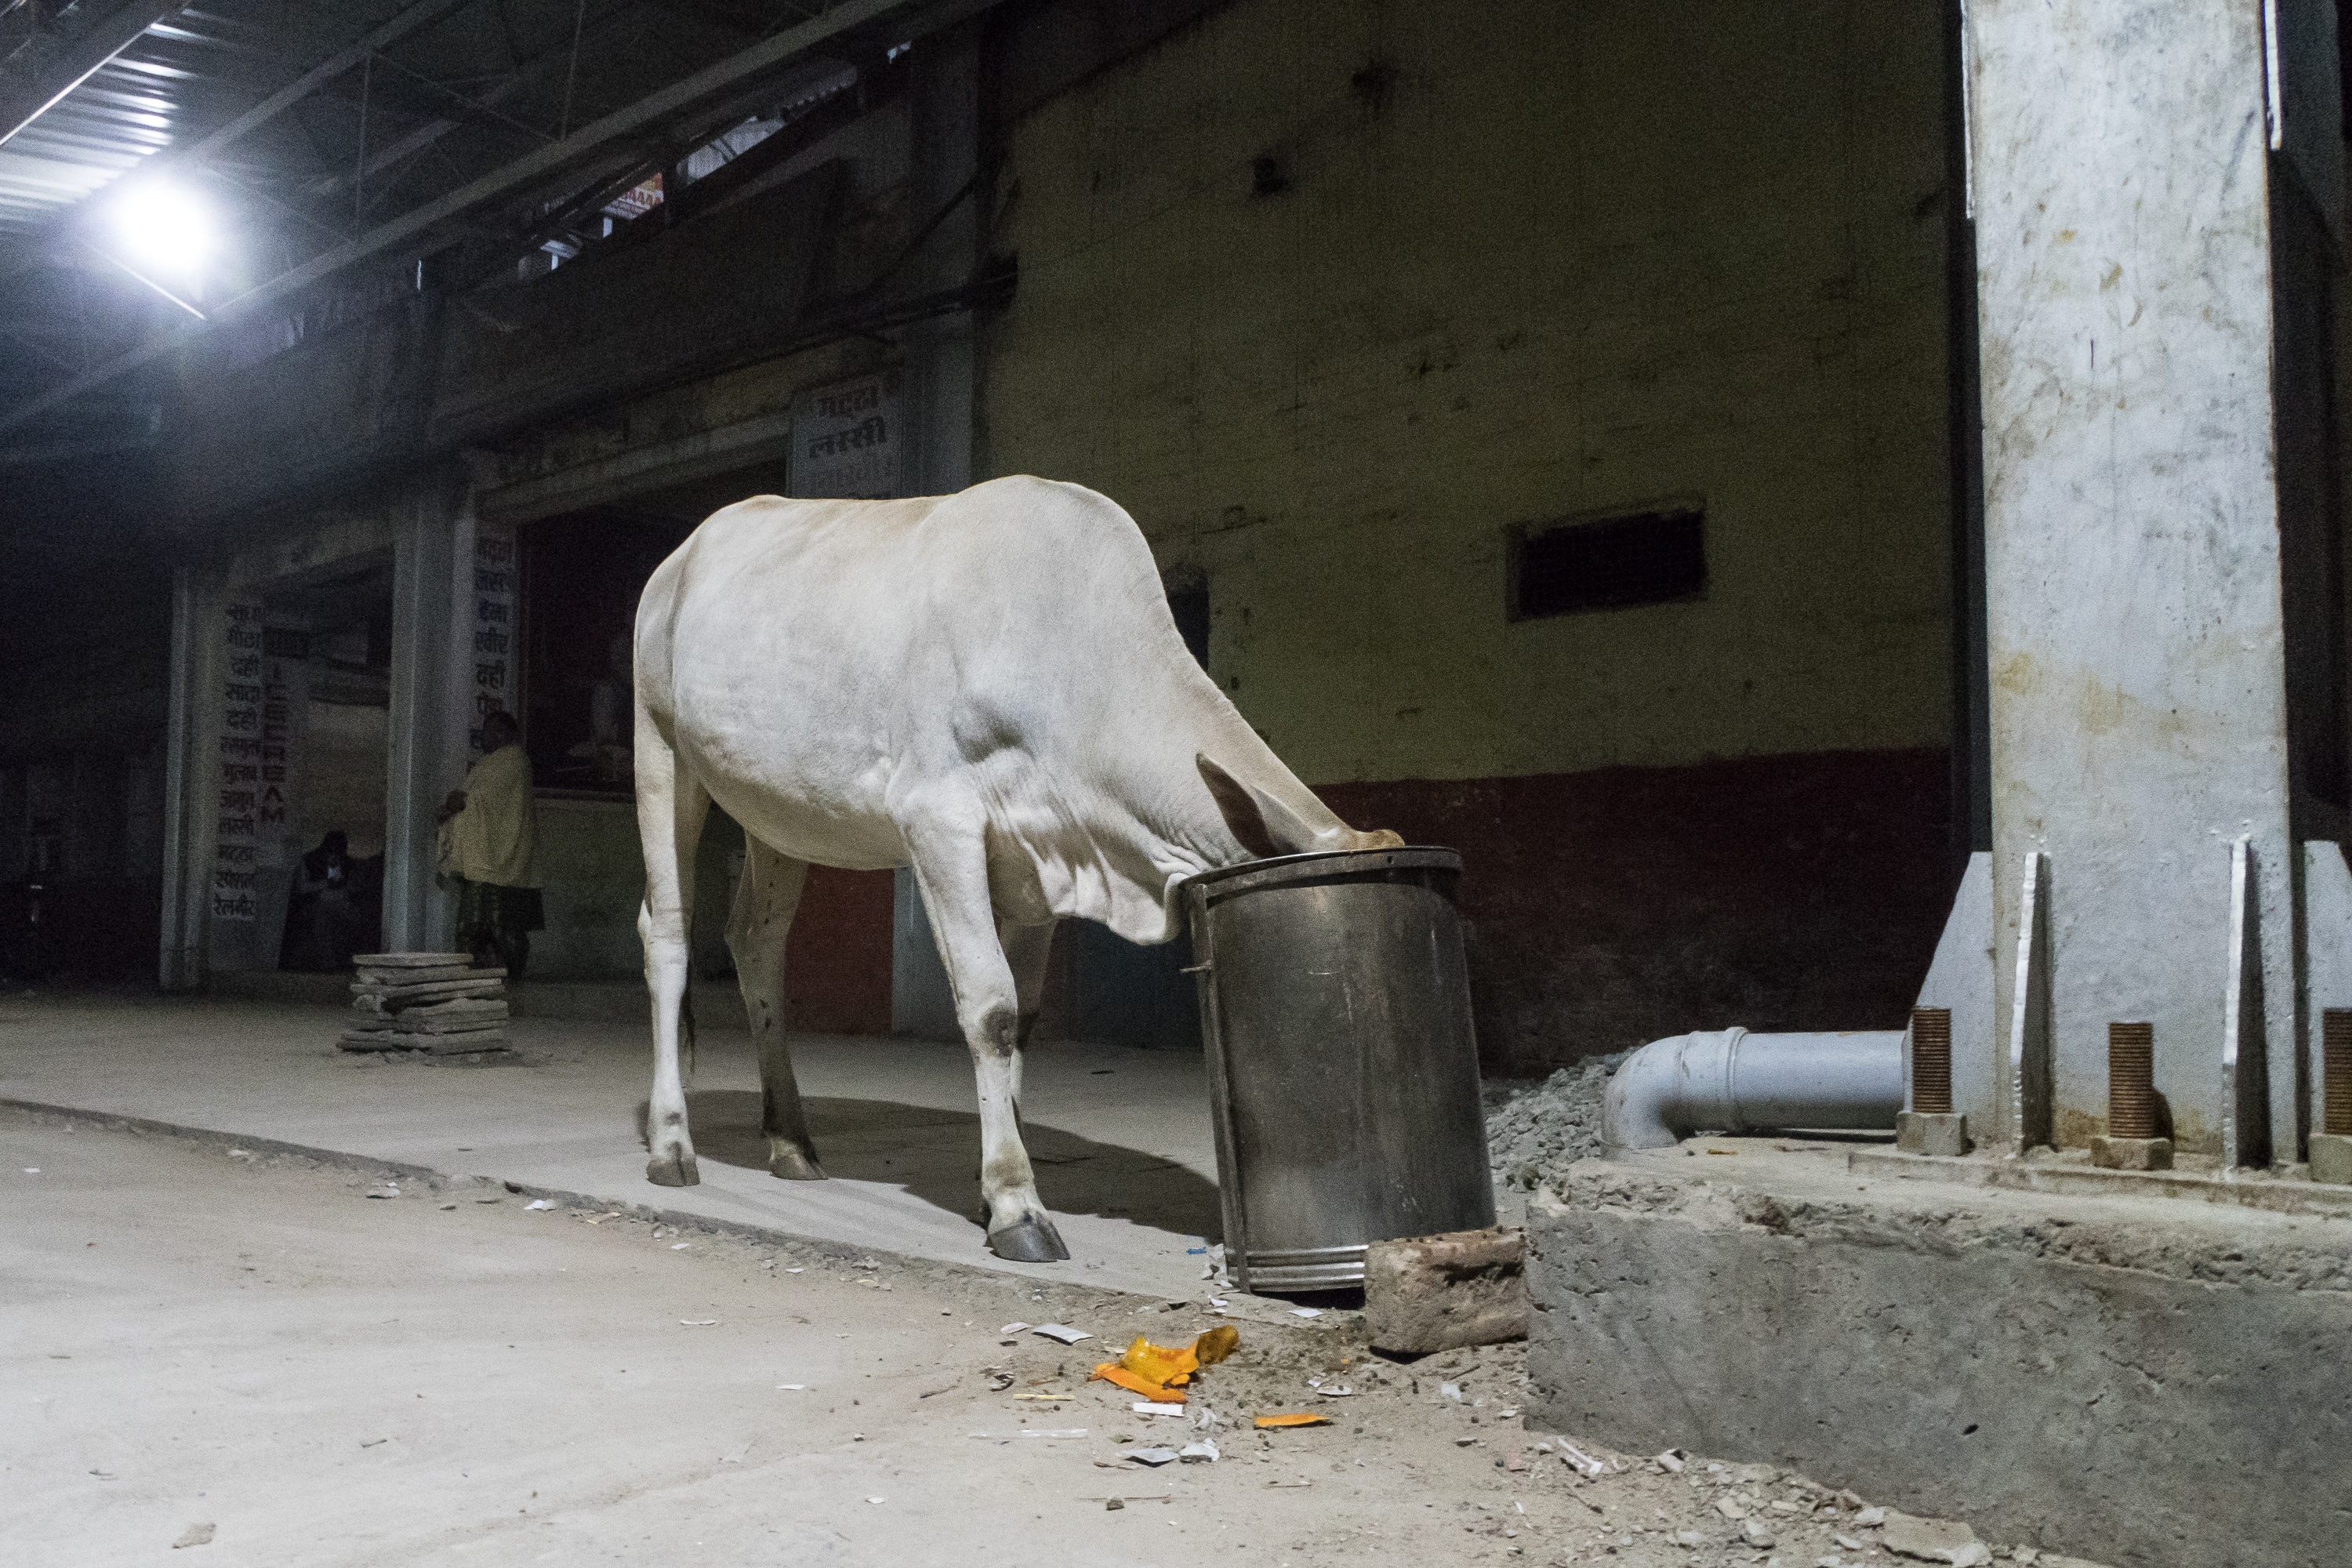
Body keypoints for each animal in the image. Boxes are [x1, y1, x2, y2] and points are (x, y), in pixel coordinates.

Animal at [632, 475, 1401, 1262]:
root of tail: (682, 554)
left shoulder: (1039, 862)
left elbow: (1025, 1017)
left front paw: (993, 1186)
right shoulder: (937, 819)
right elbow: (991, 1007)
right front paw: (1015, 1205)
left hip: (776, 809)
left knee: (756, 941)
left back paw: (790, 1141)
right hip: (660, 747)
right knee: (667, 932)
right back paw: (672, 1144)